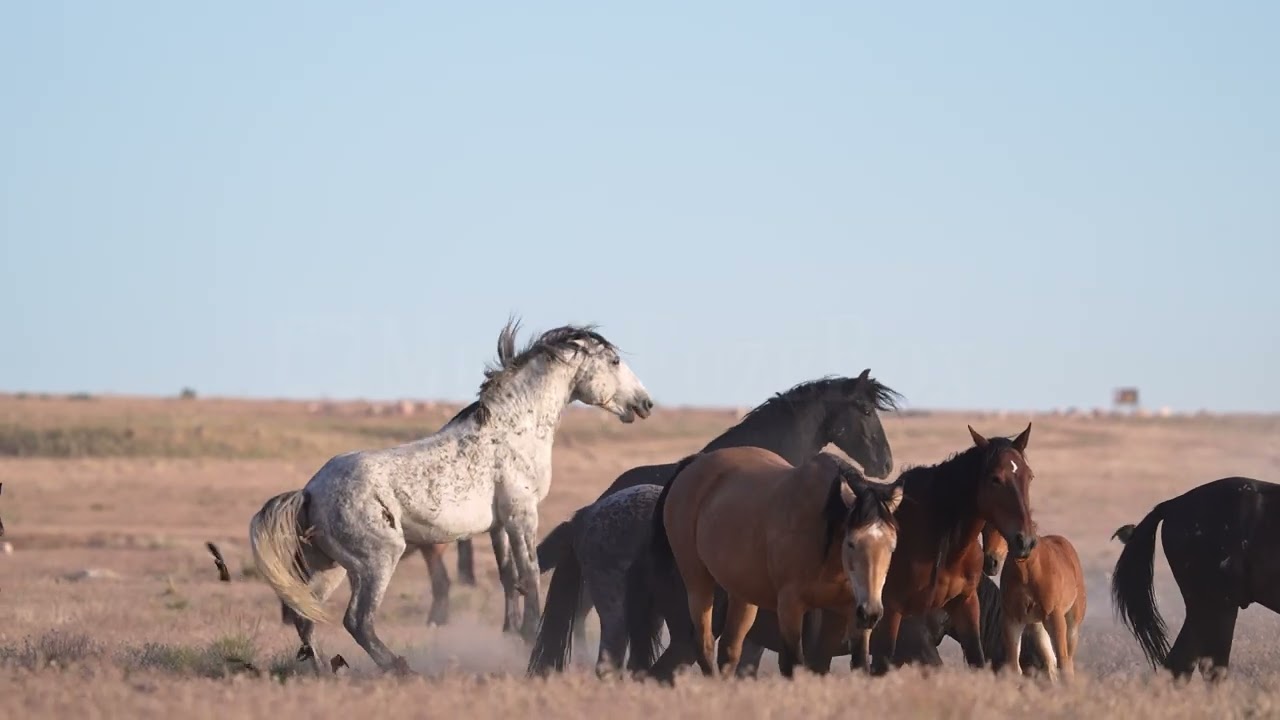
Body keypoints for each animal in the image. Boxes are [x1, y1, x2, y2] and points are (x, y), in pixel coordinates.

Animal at [248, 319, 654, 674]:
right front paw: (528, 636)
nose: (645, 403)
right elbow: (530, 574)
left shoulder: (498, 525)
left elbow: (509, 578)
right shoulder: (522, 515)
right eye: (615, 361)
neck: (514, 429)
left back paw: (323, 672)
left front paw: (510, 635)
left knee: (306, 616)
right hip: (378, 560)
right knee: (357, 621)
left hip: (330, 566)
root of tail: (309, 491)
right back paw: (400, 668)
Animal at [646, 448, 904, 678]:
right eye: (851, 543)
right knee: (705, 644)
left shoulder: (853, 611)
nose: (871, 612)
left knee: (729, 650)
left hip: (743, 594)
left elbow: (858, 664)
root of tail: (696, 463)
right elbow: (793, 664)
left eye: (892, 546)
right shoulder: (790, 607)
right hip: (697, 582)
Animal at [982, 524, 1086, 681]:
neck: (1027, 572)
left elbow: (1063, 662)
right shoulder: (1012, 619)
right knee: (1050, 663)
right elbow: (1014, 667)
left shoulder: (1055, 618)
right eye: (983, 528)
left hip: (1071, 625)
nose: (990, 563)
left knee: (1067, 661)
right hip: (1038, 626)